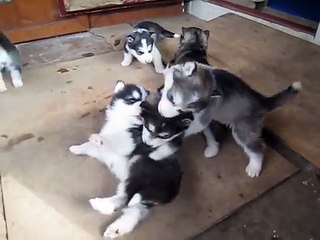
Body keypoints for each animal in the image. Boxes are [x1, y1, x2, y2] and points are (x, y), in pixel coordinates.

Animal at [159, 61, 302, 178]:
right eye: (171, 98)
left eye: (184, 110)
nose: (161, 112)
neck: (211, 76)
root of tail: (261, 100)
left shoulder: (202, 117)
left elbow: (192, 126)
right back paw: (212, 150)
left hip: (243, 128)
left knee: (257, 147)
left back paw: (254, 167)